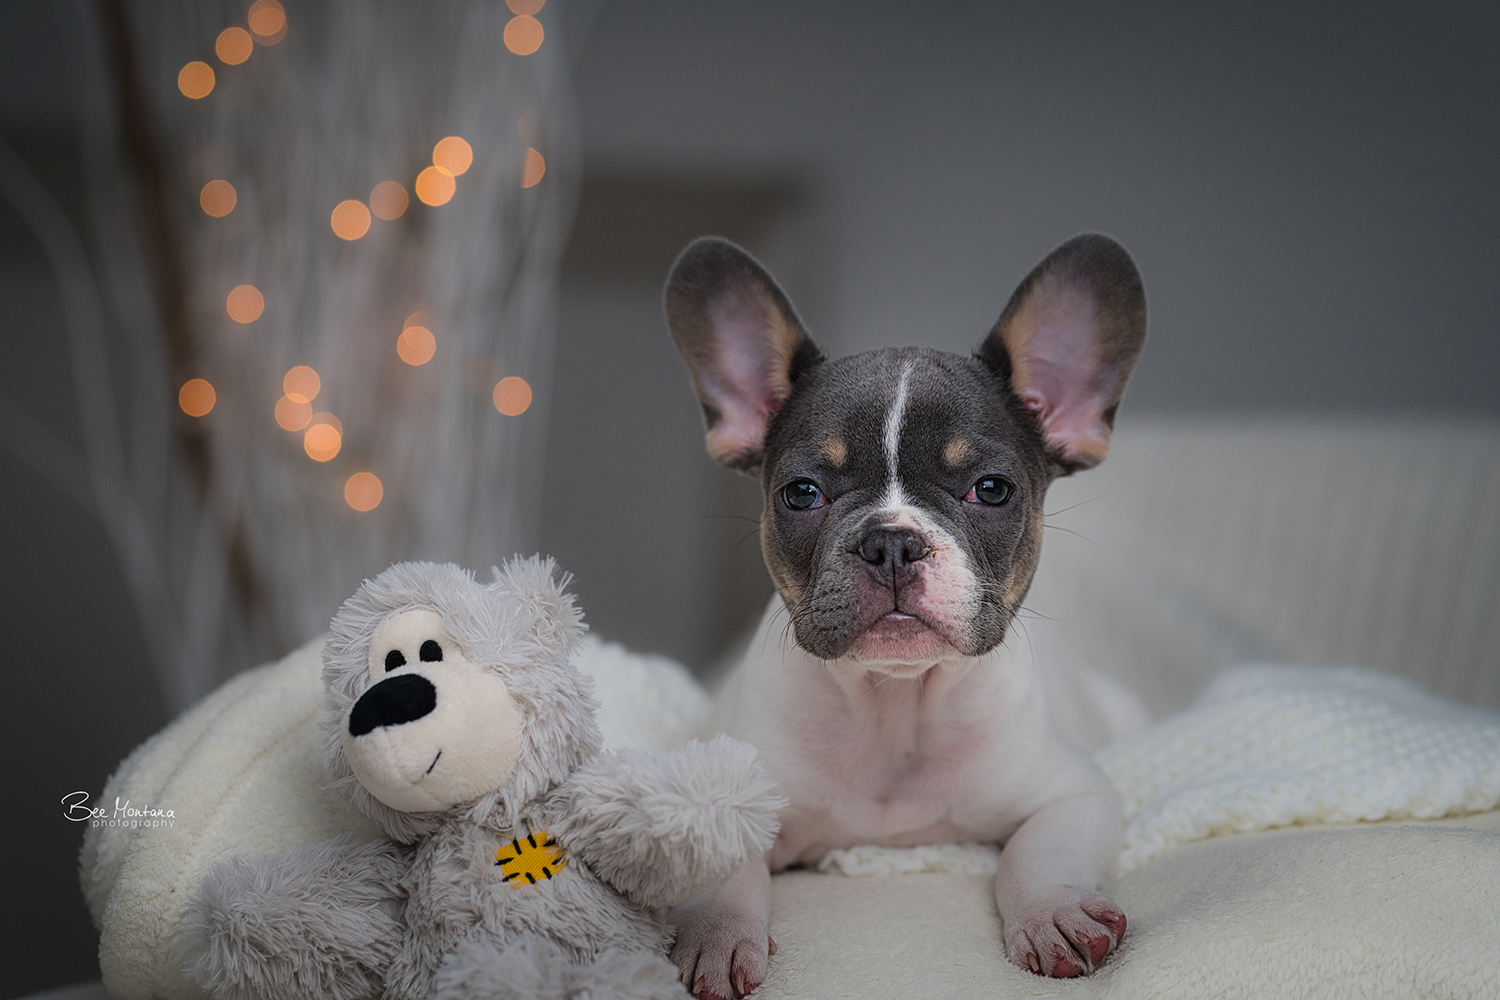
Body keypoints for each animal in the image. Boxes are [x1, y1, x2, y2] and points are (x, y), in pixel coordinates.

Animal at [661, 233, 1149, 998]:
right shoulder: (723, 799)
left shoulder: (1075, 793)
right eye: (801, 493)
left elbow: (1035, 852)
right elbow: (726, 864)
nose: (890, 540)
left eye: (991, 489)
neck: (895, 702)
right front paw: (716, 933)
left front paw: (1053, 913)